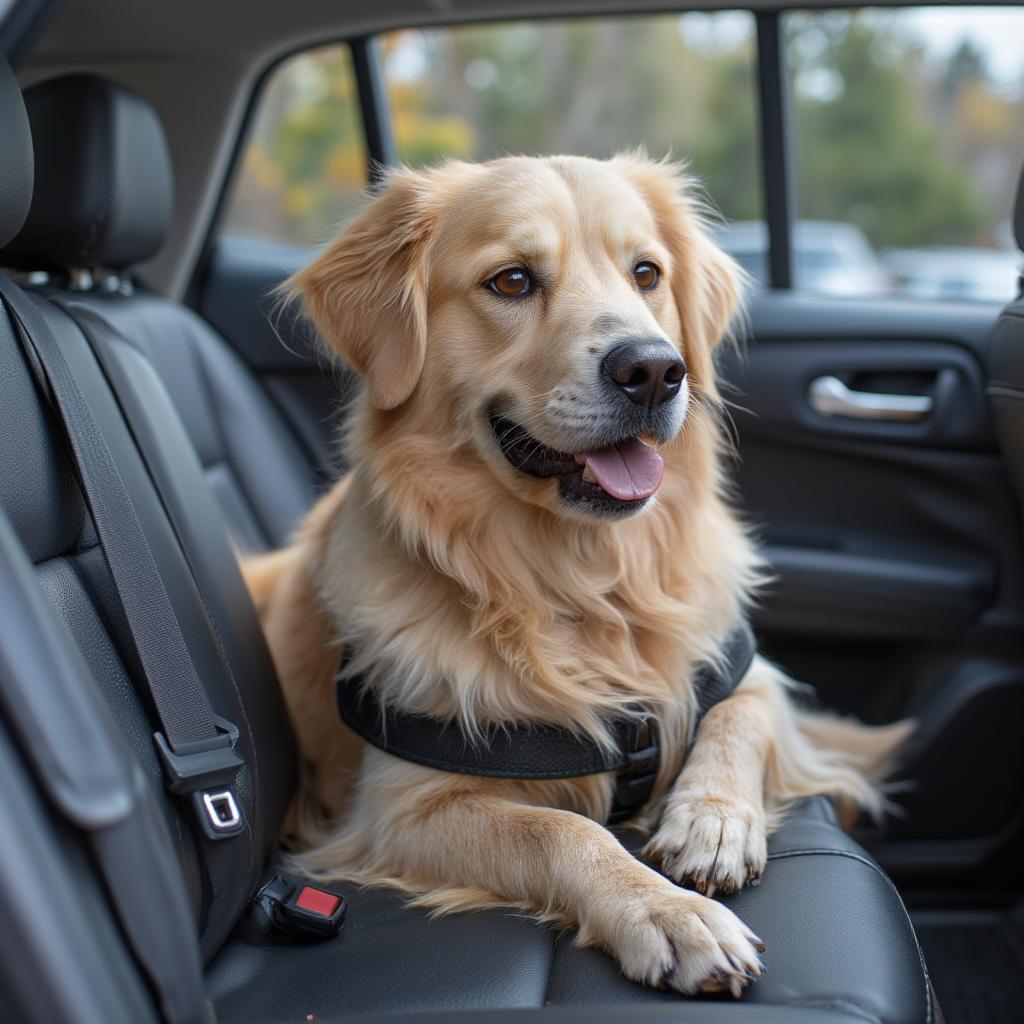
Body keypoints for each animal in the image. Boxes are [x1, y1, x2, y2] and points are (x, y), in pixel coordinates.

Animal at [245, 155, 905, 995]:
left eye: (646, 273)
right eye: (512, 281)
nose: (653, 370)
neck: (582, 581)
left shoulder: (743, 670)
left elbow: (740, 718)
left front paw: (713, 820)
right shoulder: (402, 809)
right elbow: (560, 831)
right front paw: (667, 914)